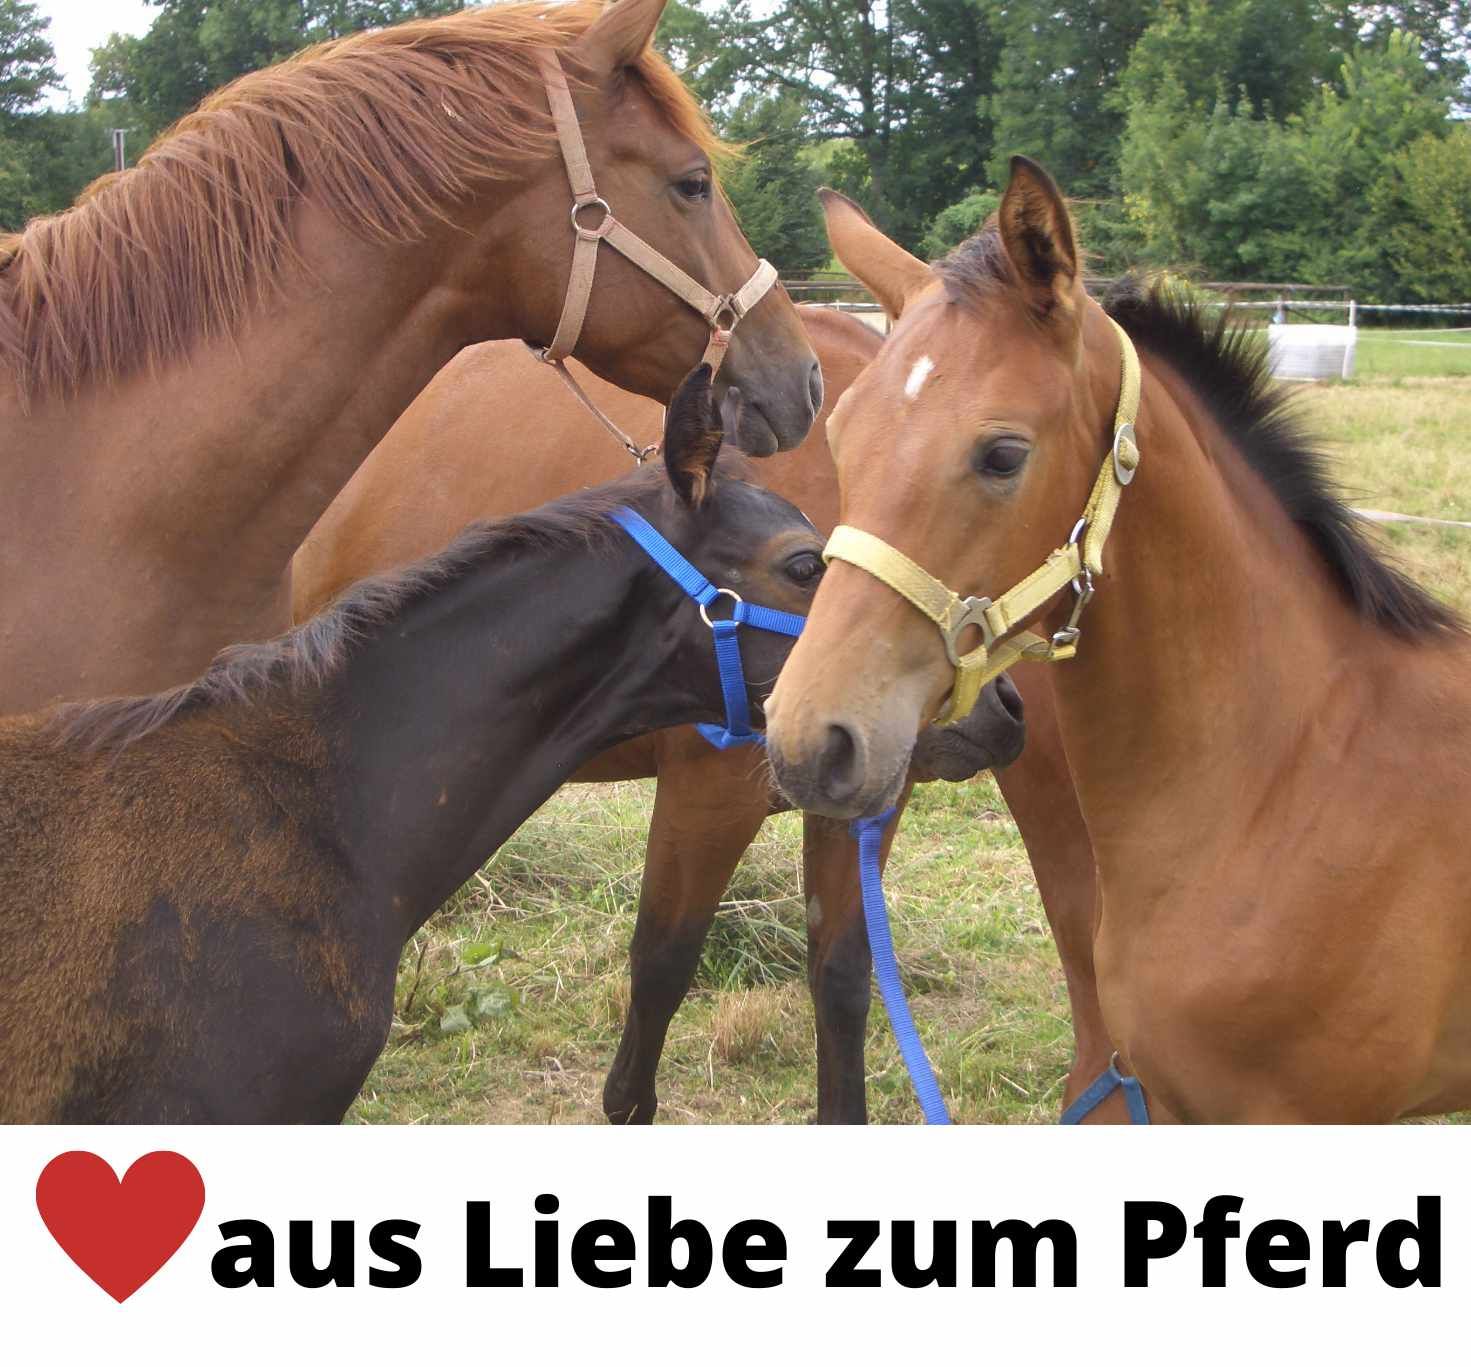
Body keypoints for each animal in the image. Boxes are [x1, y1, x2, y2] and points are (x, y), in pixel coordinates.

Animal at [293, 305, 1137, 1124]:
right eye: (805, 567)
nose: (999, 711)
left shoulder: (865, 797)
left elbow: (840, 973)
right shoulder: (710, 790)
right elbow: (661, 964)